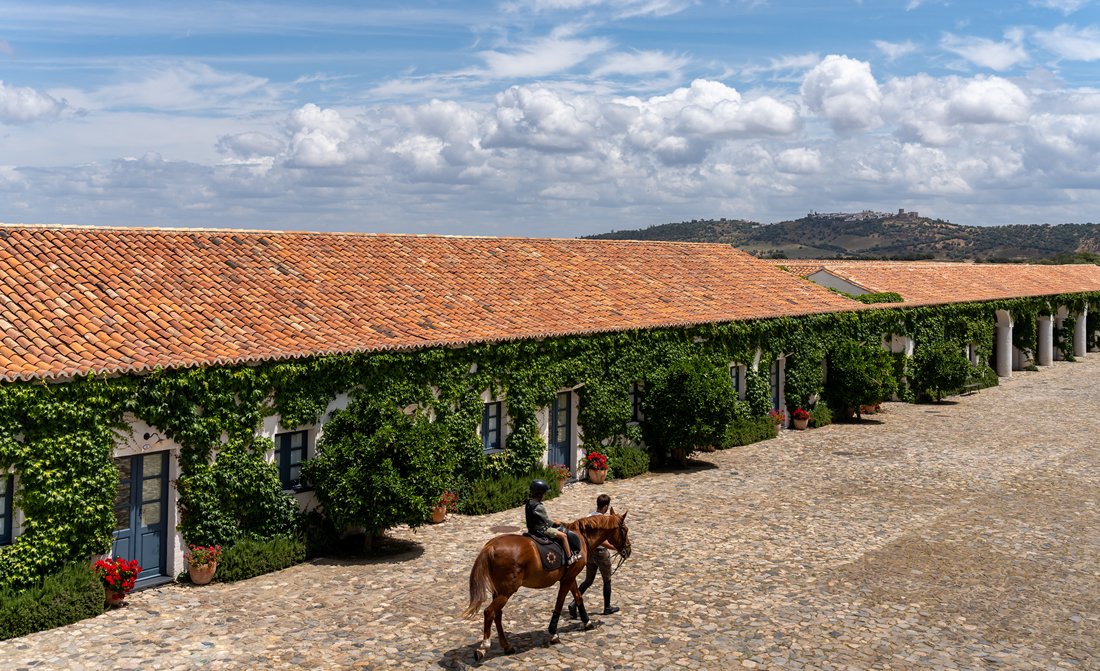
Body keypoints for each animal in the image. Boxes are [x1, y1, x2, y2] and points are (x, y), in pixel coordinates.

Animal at [462, 506, 633, 660]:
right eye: (625, 530)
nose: (628, 550)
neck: (581, 537)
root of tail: (490, 546)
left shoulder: (569, 577)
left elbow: (578, 597)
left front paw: (587, 622)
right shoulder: (567, 579)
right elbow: (559, 603)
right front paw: (553, 633)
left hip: (499, 592)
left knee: (497, 615)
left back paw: (507, 646)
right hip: (506, 591)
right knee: (489, 612)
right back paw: (483, 648)